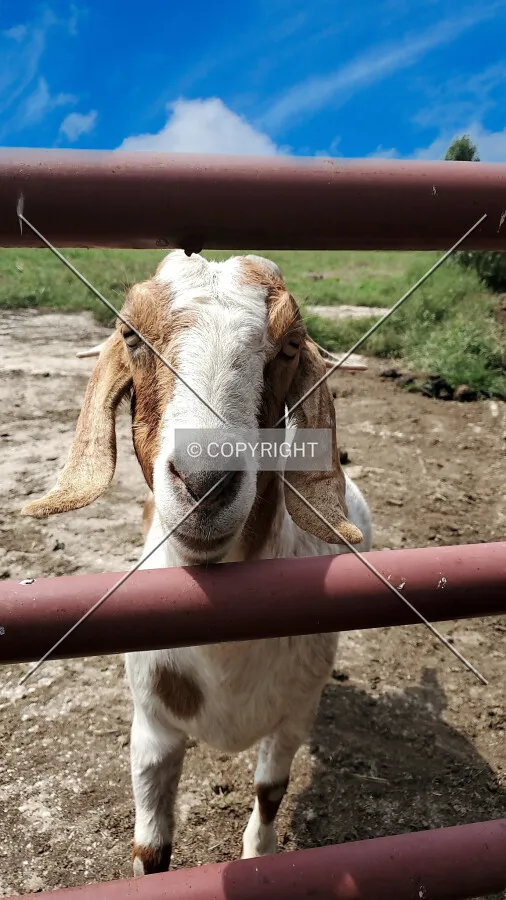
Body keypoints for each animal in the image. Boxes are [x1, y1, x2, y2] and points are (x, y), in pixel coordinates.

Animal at [22, 251, 372, 872]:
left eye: (289, 344)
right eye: (131, 336)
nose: (205, 482)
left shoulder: (292, 718)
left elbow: (269, 791)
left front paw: (259, 852)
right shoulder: (152, 729)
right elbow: (151, 848)